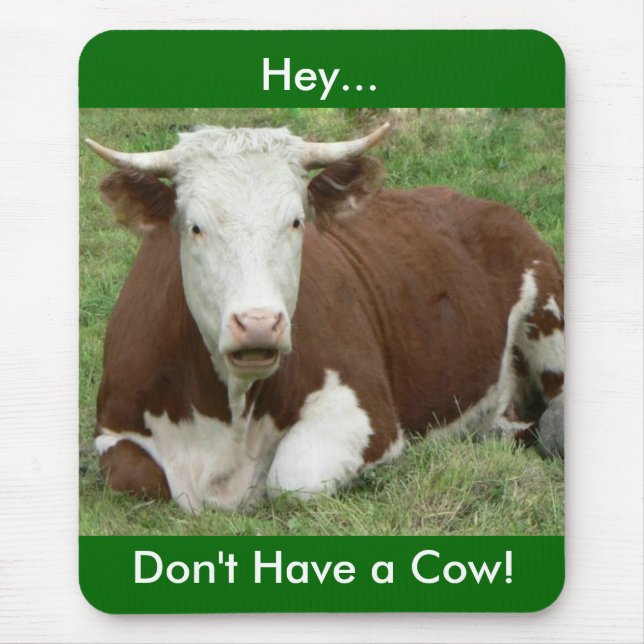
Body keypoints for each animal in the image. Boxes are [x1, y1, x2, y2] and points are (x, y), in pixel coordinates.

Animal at [85, 122, 564, 514]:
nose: (258, 323)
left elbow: (293, 477)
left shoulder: (368, 414)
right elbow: (138, 476)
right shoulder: (114, 425)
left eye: (297, 222)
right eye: (196, 227)